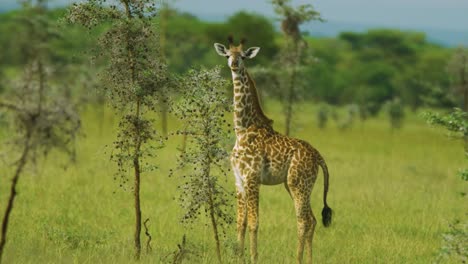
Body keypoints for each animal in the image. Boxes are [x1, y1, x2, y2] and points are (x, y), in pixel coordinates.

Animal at [214, 37, 330, 264]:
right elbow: (240, 222)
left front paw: (253, 258)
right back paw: (308, 260)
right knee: (312, 220)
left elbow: (254, 222)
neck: (242, 129)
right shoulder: (238, 180)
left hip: (298, 184)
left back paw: (297, 259)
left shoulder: (252, 178)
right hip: (294, 185)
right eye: (227, 55)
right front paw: (239, 257)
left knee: (303, 220)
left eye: (243, 56)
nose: (234, 64)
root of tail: (318, 156)